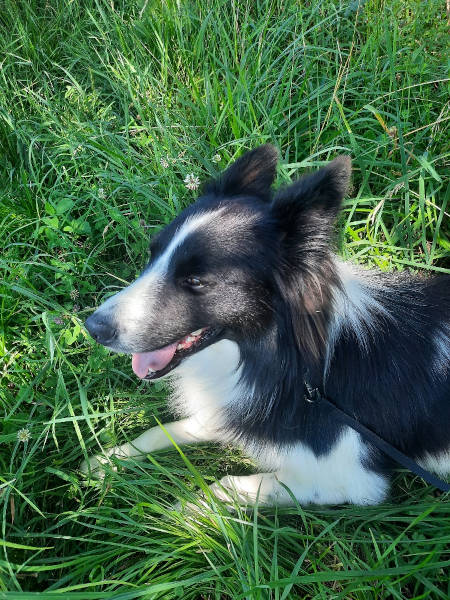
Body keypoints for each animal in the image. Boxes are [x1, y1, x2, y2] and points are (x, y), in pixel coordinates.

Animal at [82, 144, 450, 507]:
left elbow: (222, 488)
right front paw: (107, 461)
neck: (293, 366)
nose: (92, 328)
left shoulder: (350, 480)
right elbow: (163, 429)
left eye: (196, 280)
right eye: (152, 255)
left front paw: (172, 517)